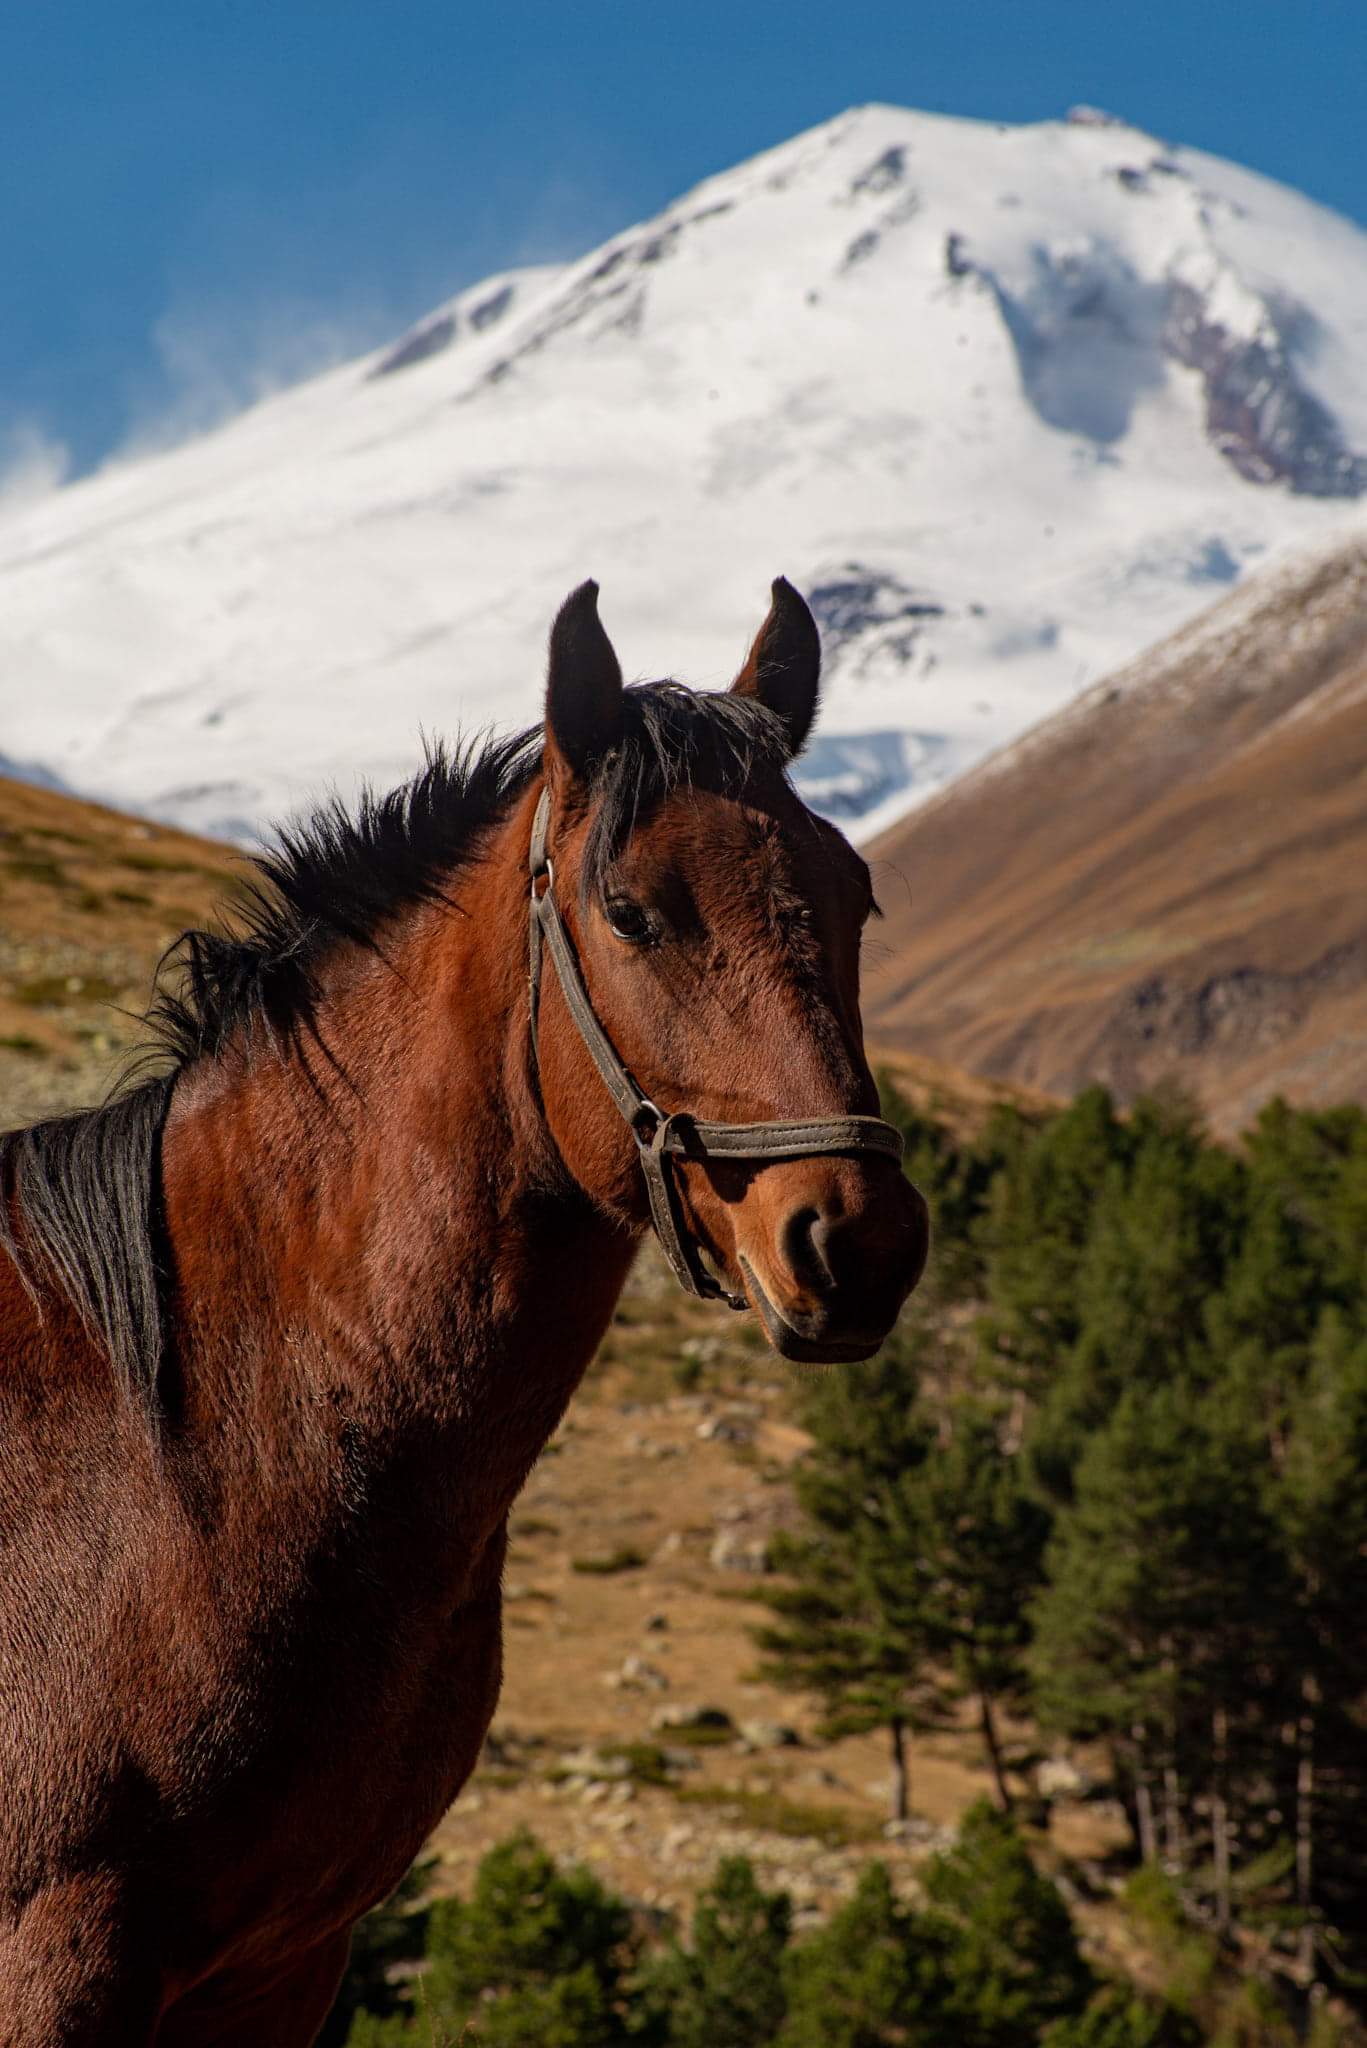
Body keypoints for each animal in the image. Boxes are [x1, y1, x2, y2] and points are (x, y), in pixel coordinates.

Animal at [0, 581, 930, 2048]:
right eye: (631, 910)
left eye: (856, 895)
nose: (858, 1242)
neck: (183, 1448)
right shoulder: (51, 1956)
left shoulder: (279, 1966)